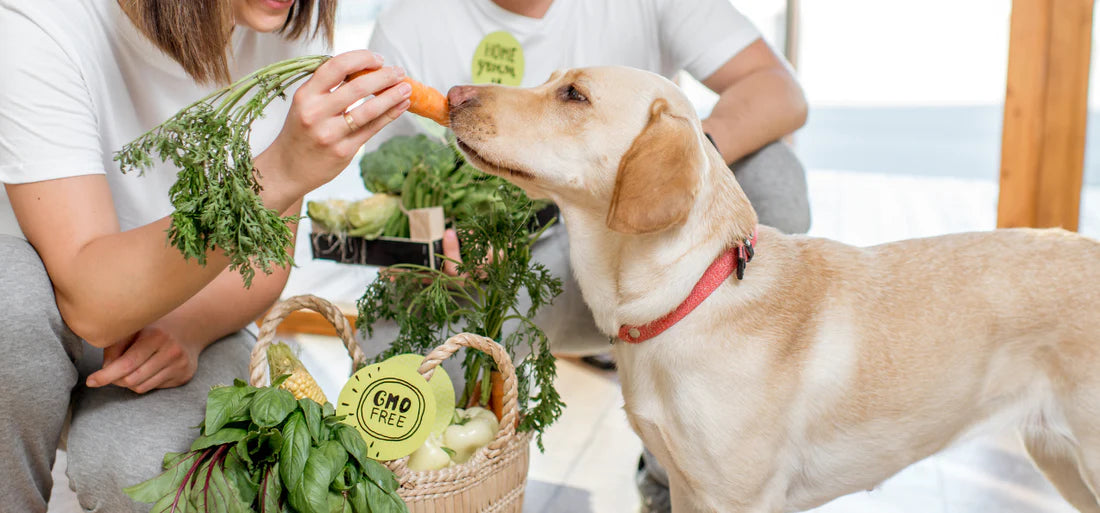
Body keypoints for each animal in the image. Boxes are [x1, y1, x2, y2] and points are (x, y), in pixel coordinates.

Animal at [444, 68, 1100, 513]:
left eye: (574, 95)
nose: (453, 94)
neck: (688, 295)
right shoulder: (686, 489)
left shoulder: (741, 500)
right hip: (1063, 462)